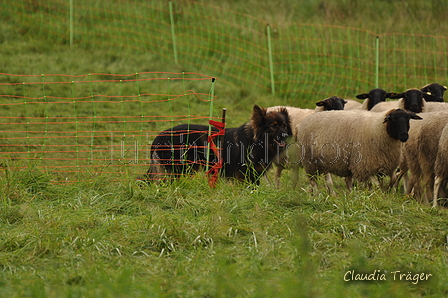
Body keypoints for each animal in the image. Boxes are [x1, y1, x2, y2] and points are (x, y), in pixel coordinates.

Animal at [147, 105, 292, 184]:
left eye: (284, 125)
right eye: (274, 126)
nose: (286, 136)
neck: (255, 142)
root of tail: (159, 137)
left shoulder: (254, 175)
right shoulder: (242, 175)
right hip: (180, 168)